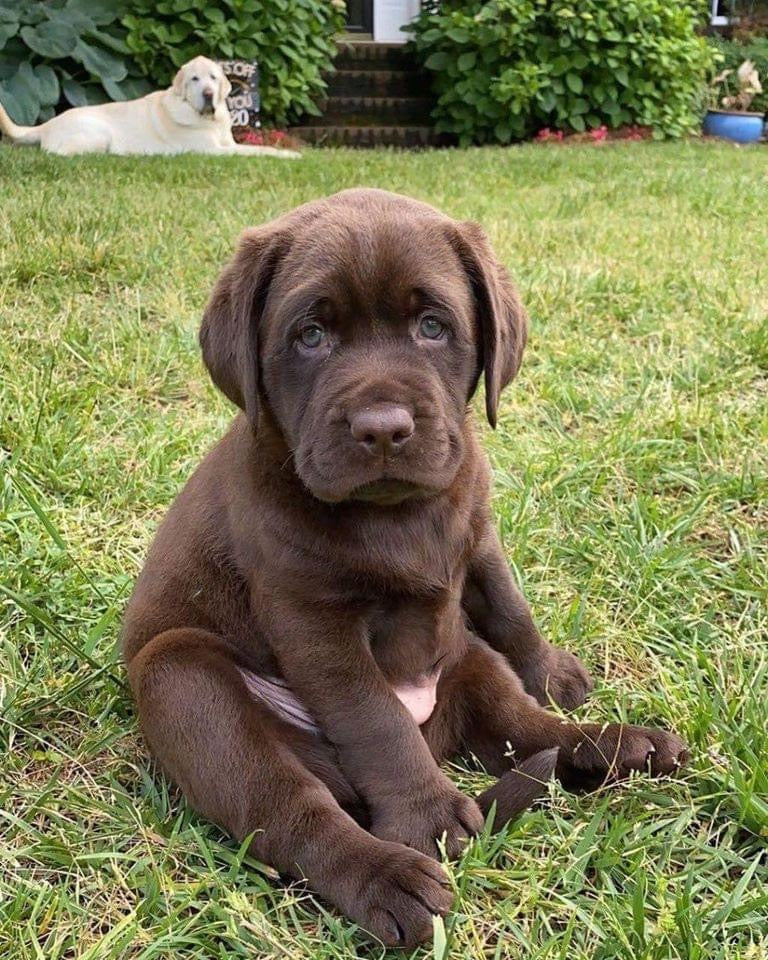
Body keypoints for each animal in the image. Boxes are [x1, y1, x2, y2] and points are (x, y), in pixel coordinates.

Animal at [0, 56, 298, 158]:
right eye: (195, 79)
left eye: (213, 77)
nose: (209, 94)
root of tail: (48, 124)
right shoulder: (213, 151)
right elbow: (257, 152)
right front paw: (288, 155)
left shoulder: (229, 144)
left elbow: (260, 147)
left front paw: (289, 153)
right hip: (99, 133)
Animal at [123, 191, 688, 948]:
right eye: (310, 335)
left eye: (432, 326)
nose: (383, 428)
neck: (396, 514)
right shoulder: (312, 619)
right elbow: (376, 720)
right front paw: (426, 816)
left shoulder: (476, 532)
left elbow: (509, 604)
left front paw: (552, 673)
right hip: (184, 680)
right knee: (293, 805)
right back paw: (384, 877)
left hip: (466, 658)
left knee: (524, 730)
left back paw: (616, 746)